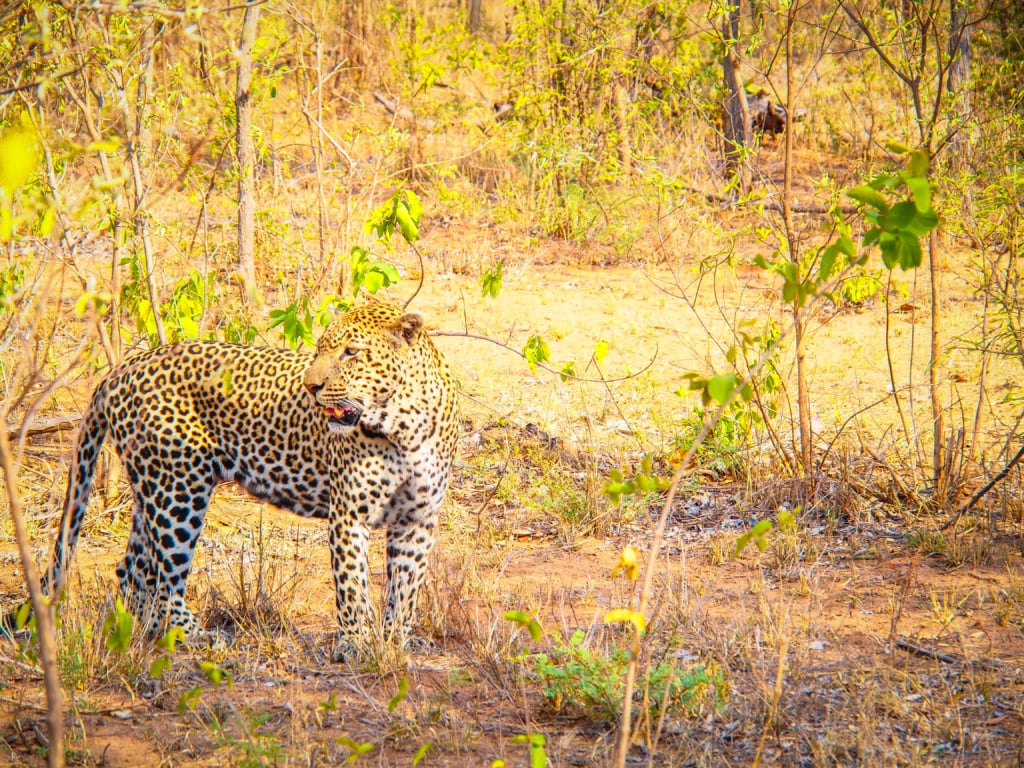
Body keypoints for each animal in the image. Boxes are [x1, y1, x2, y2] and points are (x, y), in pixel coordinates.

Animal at [20, 298, 458, 660]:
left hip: (153, 488)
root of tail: (124, 368)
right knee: (164, 577)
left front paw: (396, 641)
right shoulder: (350, 515)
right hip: (179, 490)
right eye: (320, 350)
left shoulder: (417, 520)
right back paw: (195, 636)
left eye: (352, 353)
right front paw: (355, 644)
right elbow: (352, 585)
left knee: (133, 570)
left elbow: (406, 588)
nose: (311, 386)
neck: (402, 426)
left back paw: (145, 633)